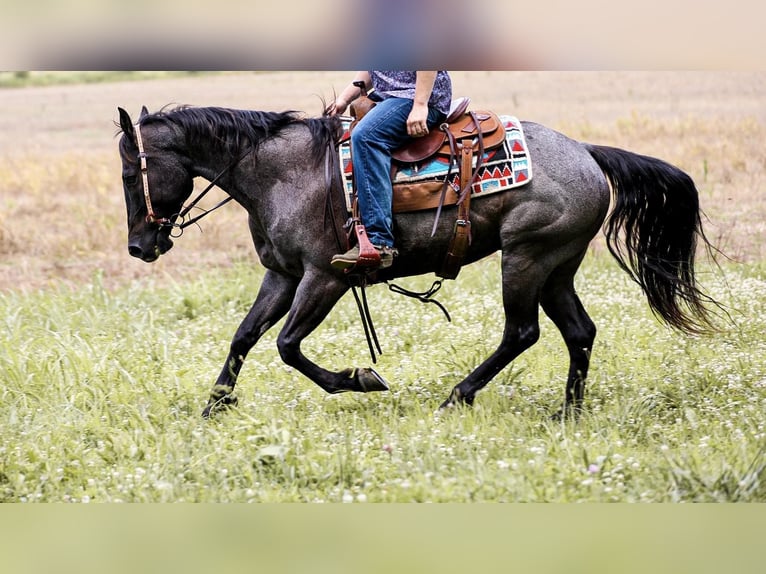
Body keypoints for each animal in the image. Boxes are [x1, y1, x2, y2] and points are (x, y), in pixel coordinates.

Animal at [116, 104, 720, 418]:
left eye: (128, 173)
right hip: (557, 267)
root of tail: (588, 153)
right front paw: (214, 406)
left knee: (522, 332)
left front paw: (360, 379)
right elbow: (244, 336)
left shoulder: (325, 277)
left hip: (527, 257)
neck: (287, 173)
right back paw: (567, 412)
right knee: (579, 331)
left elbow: (287, 345)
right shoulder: (282, 274)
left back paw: (459, 395)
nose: (140, 247)